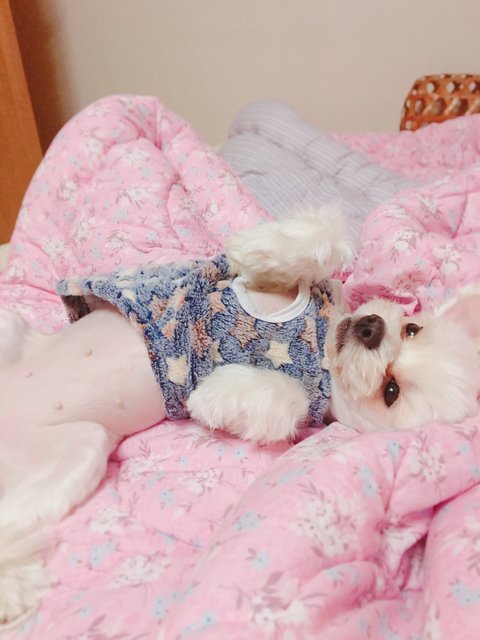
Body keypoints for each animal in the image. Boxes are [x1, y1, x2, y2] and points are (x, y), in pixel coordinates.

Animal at [0, 205, 479, 625]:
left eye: (390, 391)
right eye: (412, 328)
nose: (371, 328)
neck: (323, 343)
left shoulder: (309, 405)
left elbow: (283, 400)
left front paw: (213, 393)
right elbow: (315, 246)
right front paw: (261, 247)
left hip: (81, 448)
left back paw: (12, 587)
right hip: (11, 330)